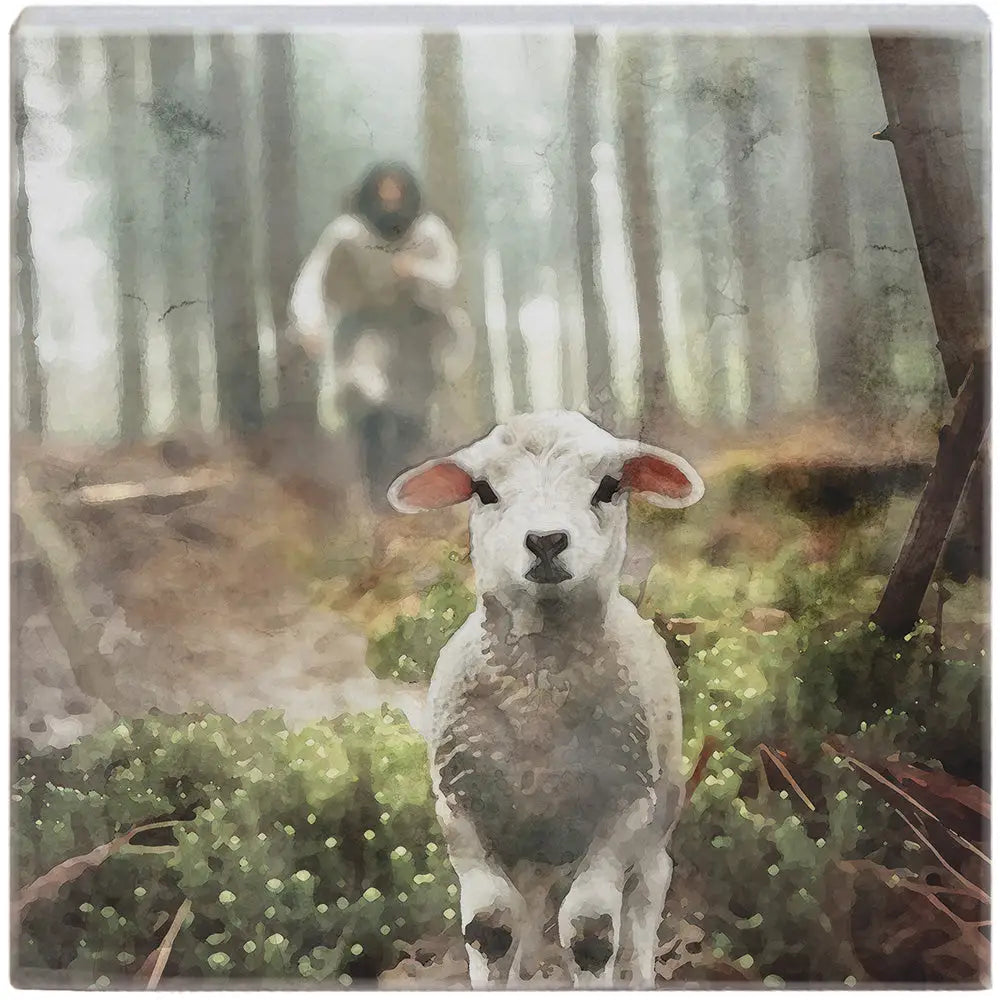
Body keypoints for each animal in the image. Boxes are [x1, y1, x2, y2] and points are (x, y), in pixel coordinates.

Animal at [387, 410, 705, 989]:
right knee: (529, 911)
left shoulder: (626, 807)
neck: (538, 700)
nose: (547, 540)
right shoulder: (459, 806)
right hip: (531, 845)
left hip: (658, 817)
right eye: (483, 490)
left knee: (645, 901)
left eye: (609, 486)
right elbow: (490, 925)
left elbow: (591, 932)